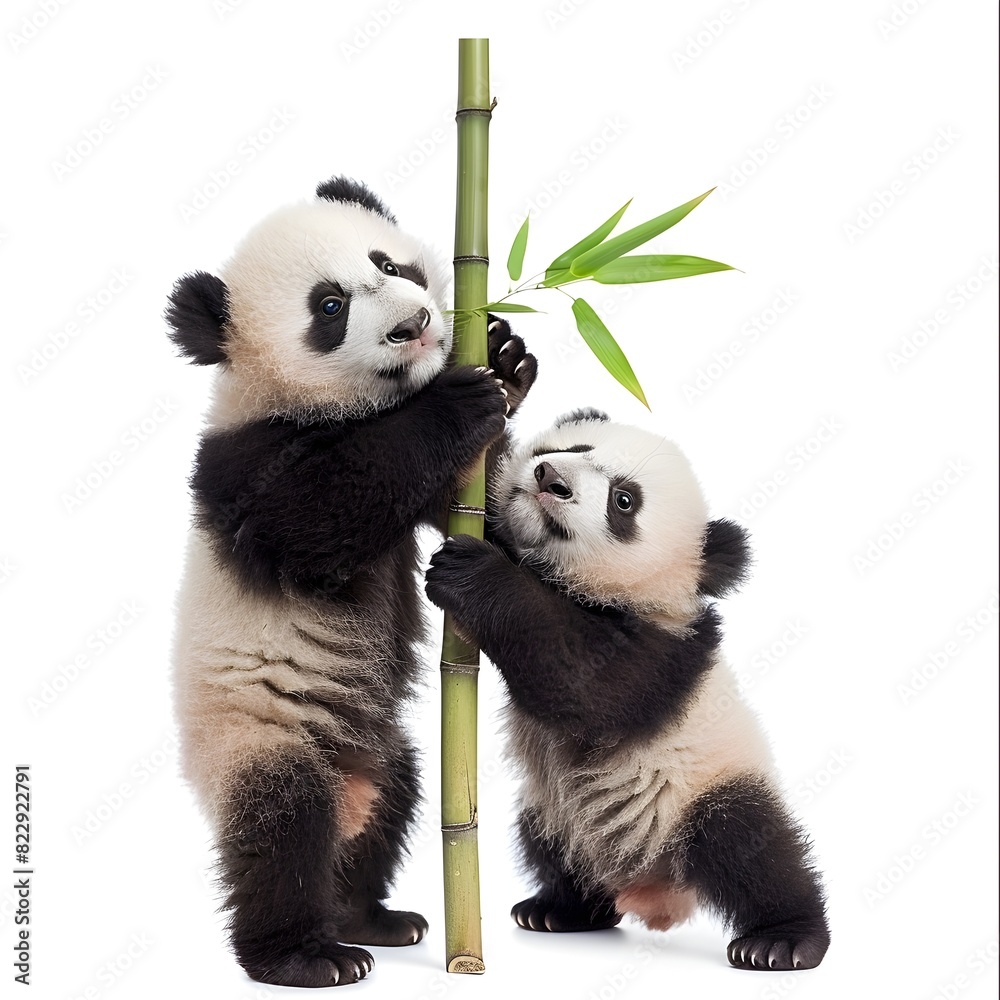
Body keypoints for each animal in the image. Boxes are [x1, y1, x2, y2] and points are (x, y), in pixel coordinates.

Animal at [167, 176, 537, 988]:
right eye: (329, 307)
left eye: (388, 264)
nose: (417, 325)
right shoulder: (246, 464)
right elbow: (319, 521)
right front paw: (456, 400)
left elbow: (491, 513)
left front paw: (505, 355)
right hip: (258, 740)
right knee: (282, 836)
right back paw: (307, 956)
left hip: (382, 751)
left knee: (389, 810)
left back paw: (372, 918)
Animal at [424, 408, 830, 972]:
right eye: (577, 447)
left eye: (624, 501)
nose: (550, 478)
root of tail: (655, 896)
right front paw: (486, 395)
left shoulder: (663, 656)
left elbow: (581, 681)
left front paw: (474, 575)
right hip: (553, 811)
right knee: (551, 846)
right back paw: (560, 910)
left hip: (701, 793)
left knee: (752, 847)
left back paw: (782, 940)